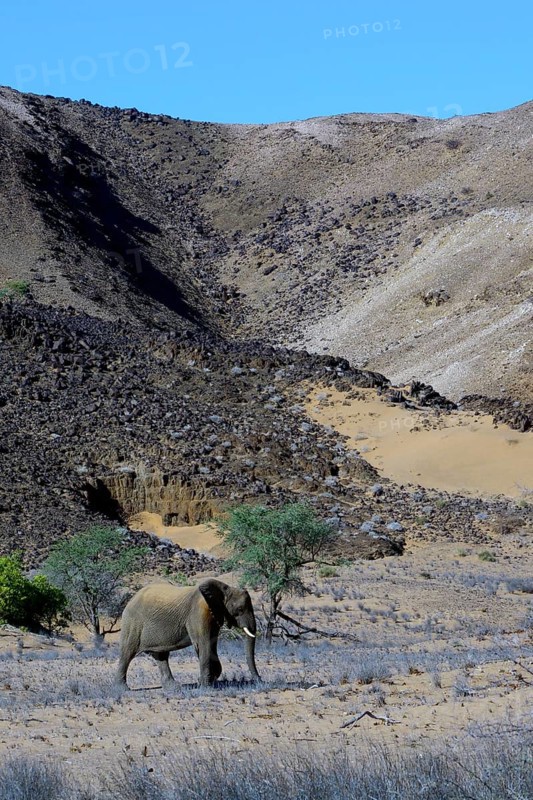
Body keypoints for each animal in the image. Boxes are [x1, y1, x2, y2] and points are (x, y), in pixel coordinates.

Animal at [116, 578, 261, 688]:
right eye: (240, 609)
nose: (259, 680)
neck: (224, 589)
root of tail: (130, 600)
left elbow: (211, 645)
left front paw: (209, 680)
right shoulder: (199, 613)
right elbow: (203, 644)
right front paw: (205, 686)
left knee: (161, 655)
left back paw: (172, 687)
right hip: (132, 624)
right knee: (127, 653)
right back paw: (122, 689)